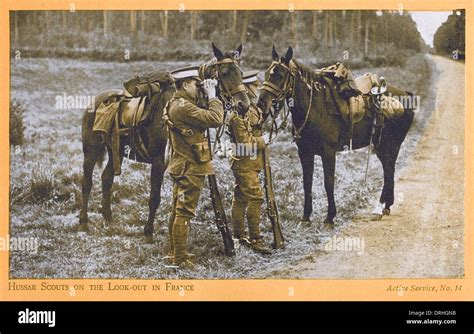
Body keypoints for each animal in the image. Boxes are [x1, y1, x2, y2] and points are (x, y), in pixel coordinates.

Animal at [78, 45, 250, 243]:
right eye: (224, 72)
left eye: (241, 72)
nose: (244, 105)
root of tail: (95, 101)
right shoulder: (159, 162)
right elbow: (155, 197)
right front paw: (148, 232)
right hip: (91, 151)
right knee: (87, 183)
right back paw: (83, 223)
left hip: (116, 151)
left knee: (106, 179)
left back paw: (109, 219)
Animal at [256, 46, 414, 227]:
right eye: (266, 73)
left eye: (281, 75)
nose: (261, 102)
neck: (315, 107)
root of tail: (406, 94)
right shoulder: (304, 152)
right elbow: (307, 183)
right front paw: (305, 217)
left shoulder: (328, 153)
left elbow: (328, 183)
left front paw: (329, 217)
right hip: (381, 145)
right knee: (389, 169)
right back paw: (386, 206)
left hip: (390, 144)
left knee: (388, 169)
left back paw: (381, 207)